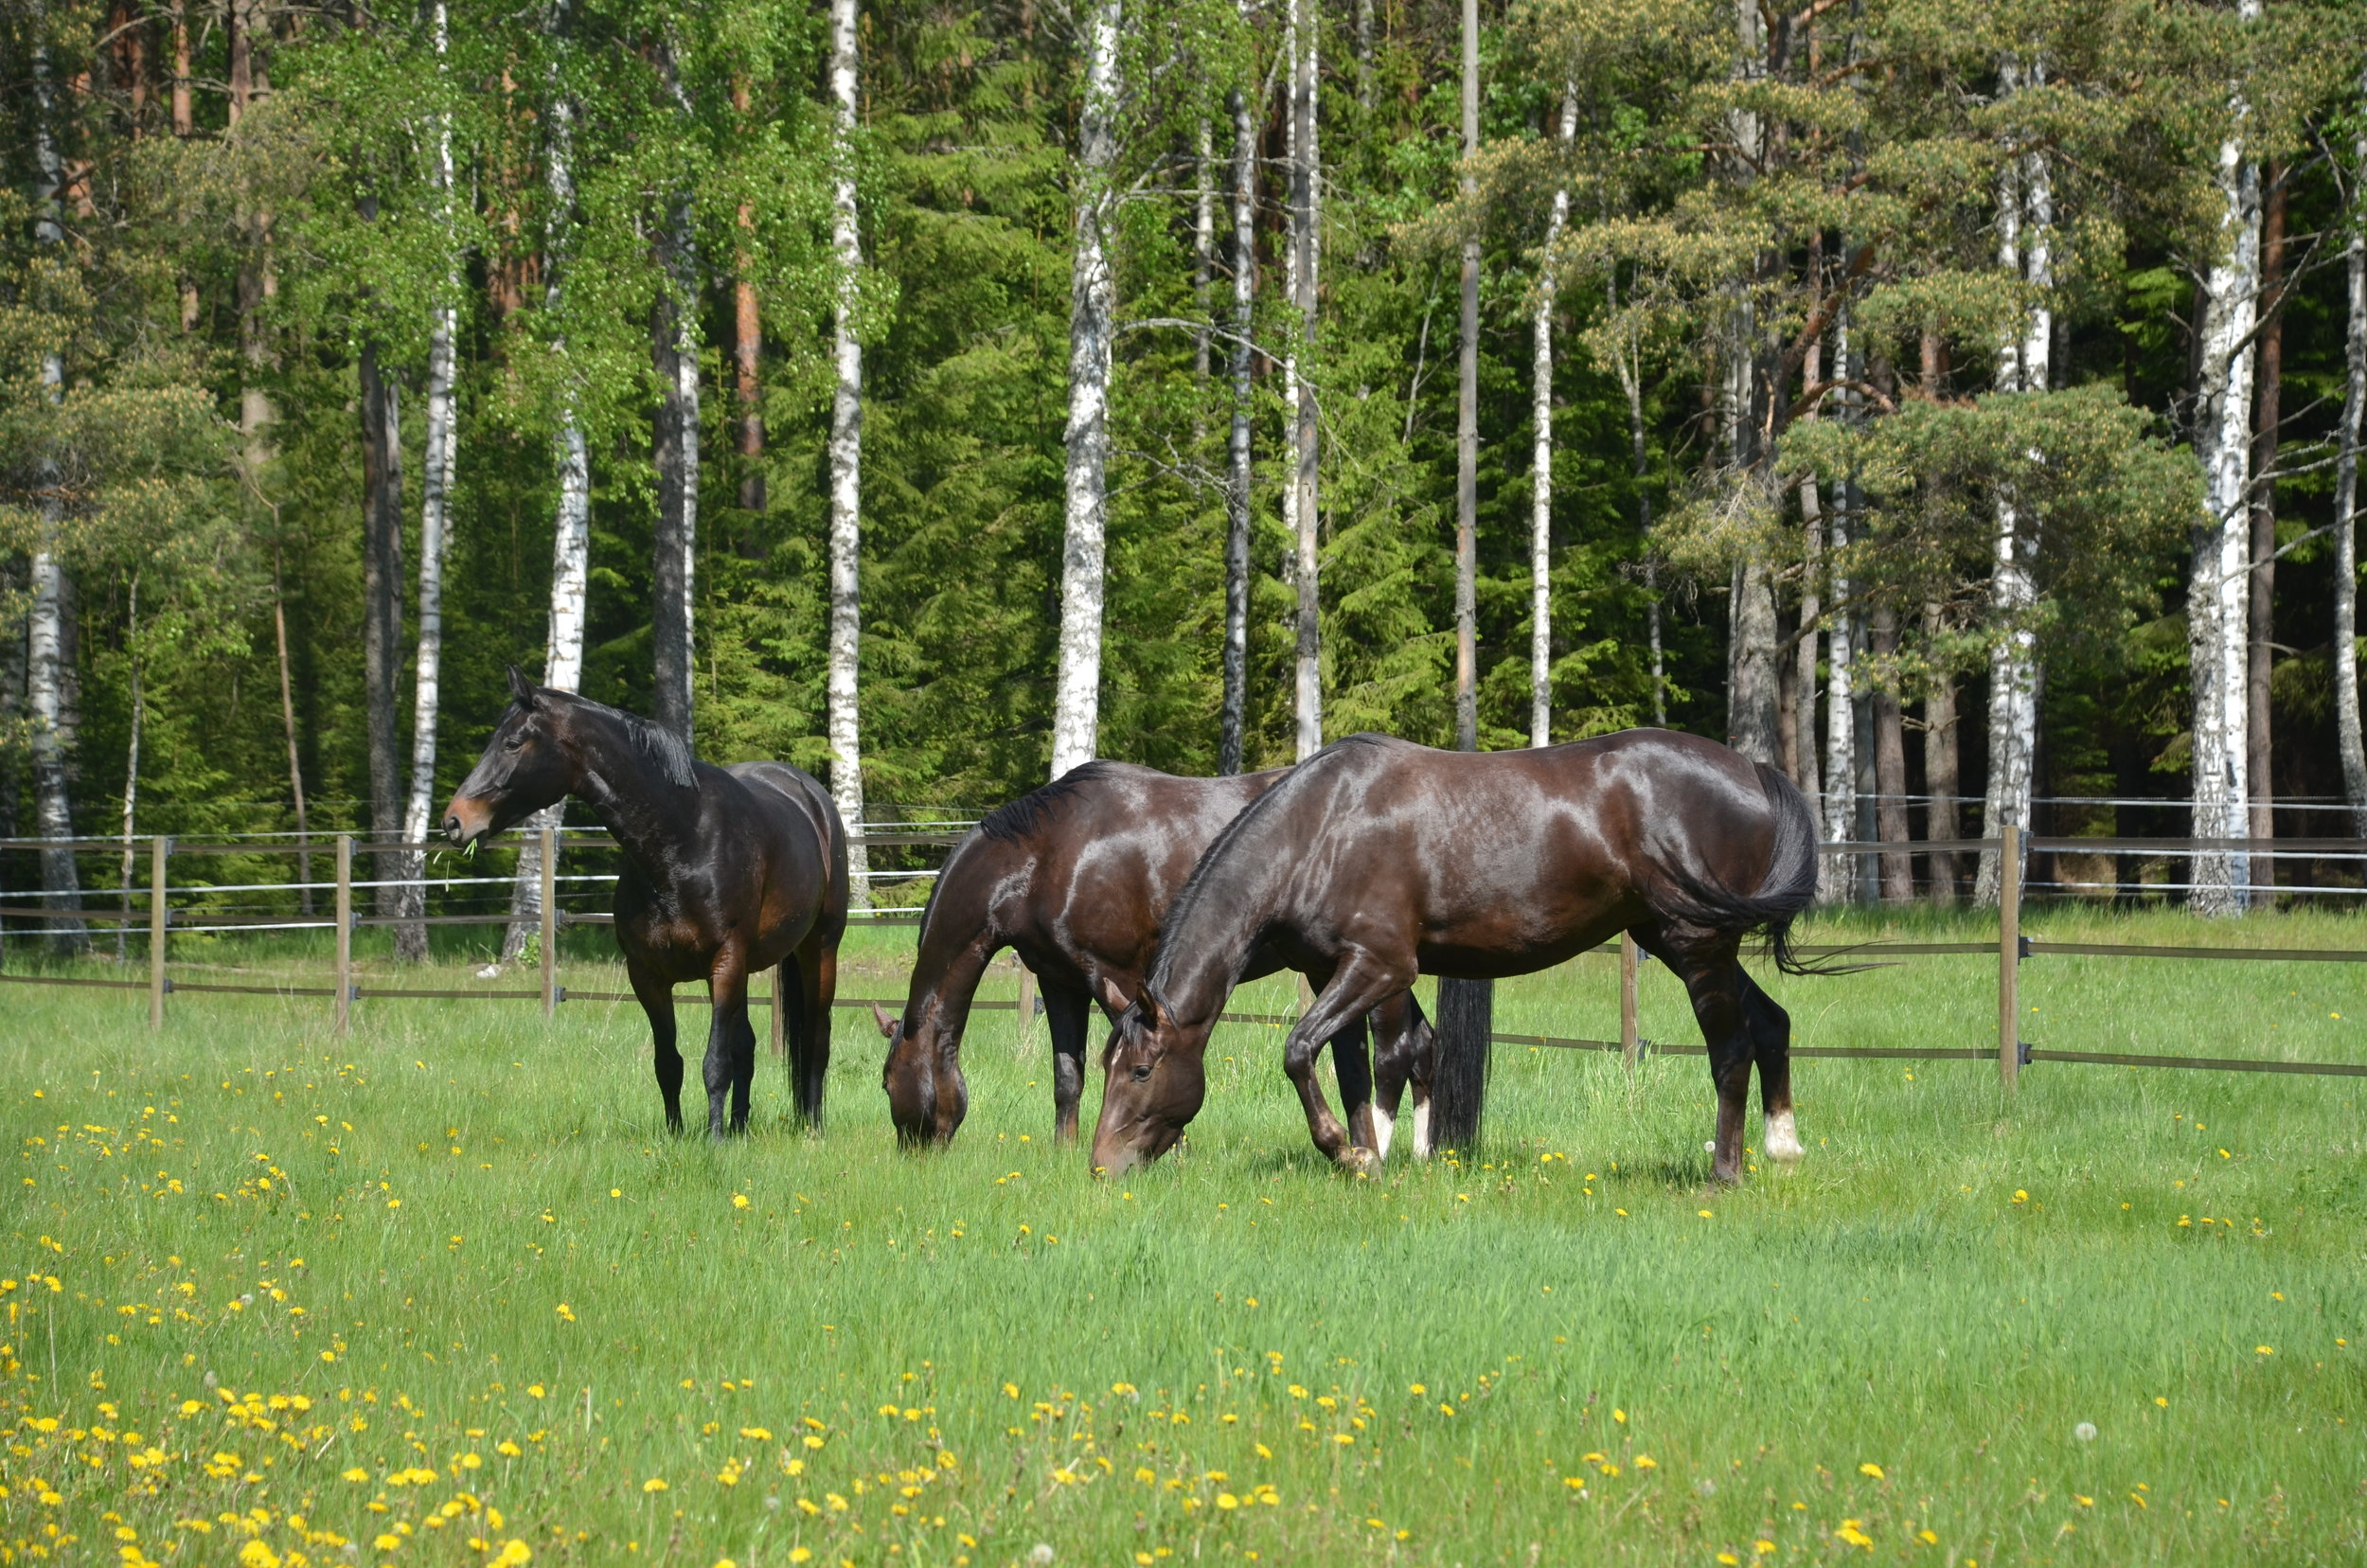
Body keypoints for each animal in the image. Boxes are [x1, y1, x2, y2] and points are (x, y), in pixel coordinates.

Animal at [445, 668, 852, 1141]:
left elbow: (715, 1062)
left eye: (512, 743)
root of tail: (813, 799)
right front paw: (677, 1135)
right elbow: (669, 1063)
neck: (683, 840)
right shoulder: (648, 975)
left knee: (815, 1039)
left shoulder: (725, 962)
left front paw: (713, 1141)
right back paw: (740, 1125)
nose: (454, 821)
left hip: (817, 951)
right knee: (747, 1046)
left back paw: (811, 1126)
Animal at [866, 762, 1420, 1165]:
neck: (1049, 856)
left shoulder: (1118, 976)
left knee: (1398, 1051)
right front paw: (1065, 1153)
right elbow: (1067, 1076)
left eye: (886, 1082)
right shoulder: (1059, 980)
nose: (912, 1155)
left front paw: (1168, 1147)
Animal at [1084, 729, 1818, 1184]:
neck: (1323, 829)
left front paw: (1349, 1153)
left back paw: (1725, 1173)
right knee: (1772, 1021)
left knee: (1731, 1048)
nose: (1100, 1166)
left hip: (1698, 946)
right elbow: (1352, 1071)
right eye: (1106, 1067)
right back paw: (1783, 1148)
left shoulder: (1383, 968)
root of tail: (1753, 771)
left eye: (1143, 1071)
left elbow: (1303, 1052)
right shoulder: (1331, 972)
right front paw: (1368, 1160)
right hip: (1678, 941)